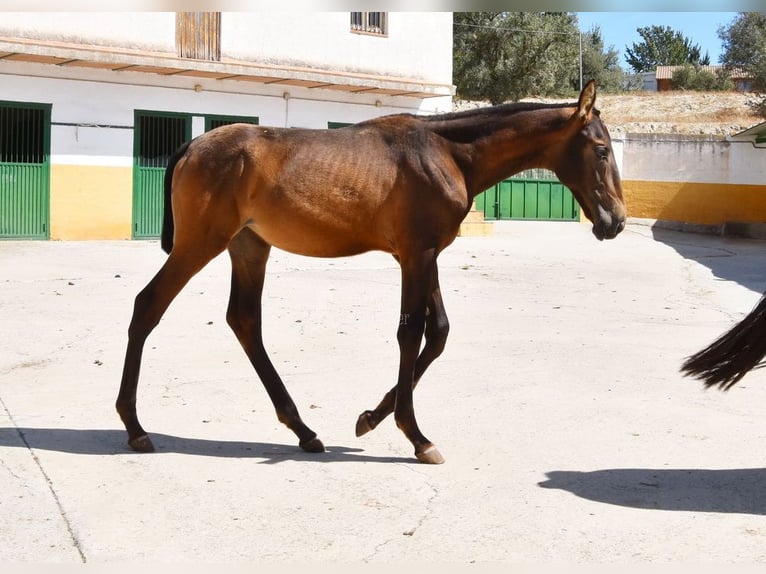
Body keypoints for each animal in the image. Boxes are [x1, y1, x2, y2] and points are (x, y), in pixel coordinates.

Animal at [117, 81, 628, 466]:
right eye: (601, 150)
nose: (616, 222)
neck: (446, 153)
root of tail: (194, 143)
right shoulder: (418, 256)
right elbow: (411, 333)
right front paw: (416, 436)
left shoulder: (422, 256)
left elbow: (438, 333)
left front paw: (369, 418)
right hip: (199, 245)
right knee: (148, 305)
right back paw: (135, 426)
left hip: (249, 248)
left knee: (244, 321)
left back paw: (303, 430)